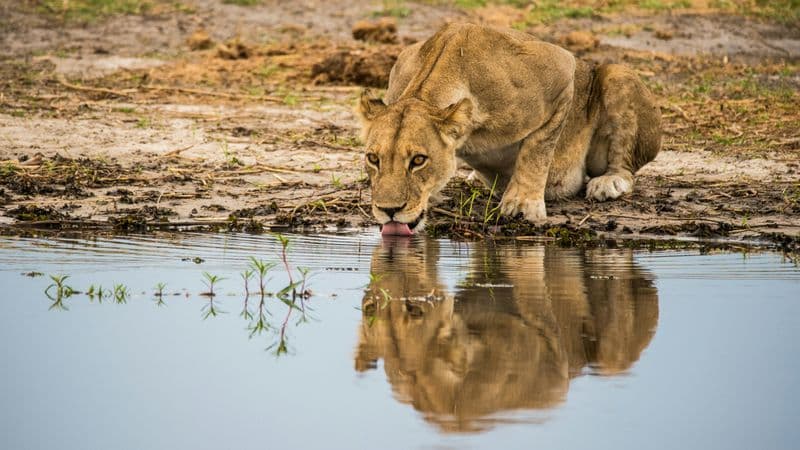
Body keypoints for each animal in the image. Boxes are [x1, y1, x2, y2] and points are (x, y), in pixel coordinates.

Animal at [357, 23, 662, 235]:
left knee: (624, 167)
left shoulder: (561, 70)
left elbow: (537, 150)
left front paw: (523, 205)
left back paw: (608, 182)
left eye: (418, 160)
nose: (389, 211)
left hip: (618, 75)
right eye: (373, 159)